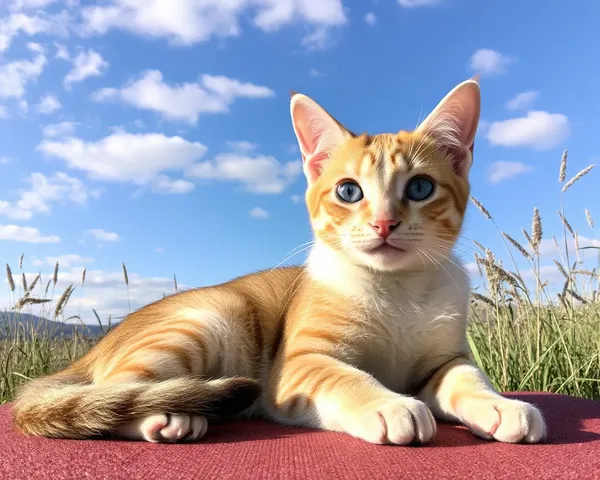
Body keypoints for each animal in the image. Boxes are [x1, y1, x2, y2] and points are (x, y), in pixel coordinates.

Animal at [11, 78, 548, 446]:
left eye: (420, 187)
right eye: (348, 191)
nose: (384, 224)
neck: (398, 290)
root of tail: (90, 353)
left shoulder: (446, 357)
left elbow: (467, 377)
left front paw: (501, 405)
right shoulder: (297, 365)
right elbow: (347, 375)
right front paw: (390, 402)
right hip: (211, 318)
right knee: (111, 396)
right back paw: (165, 416)